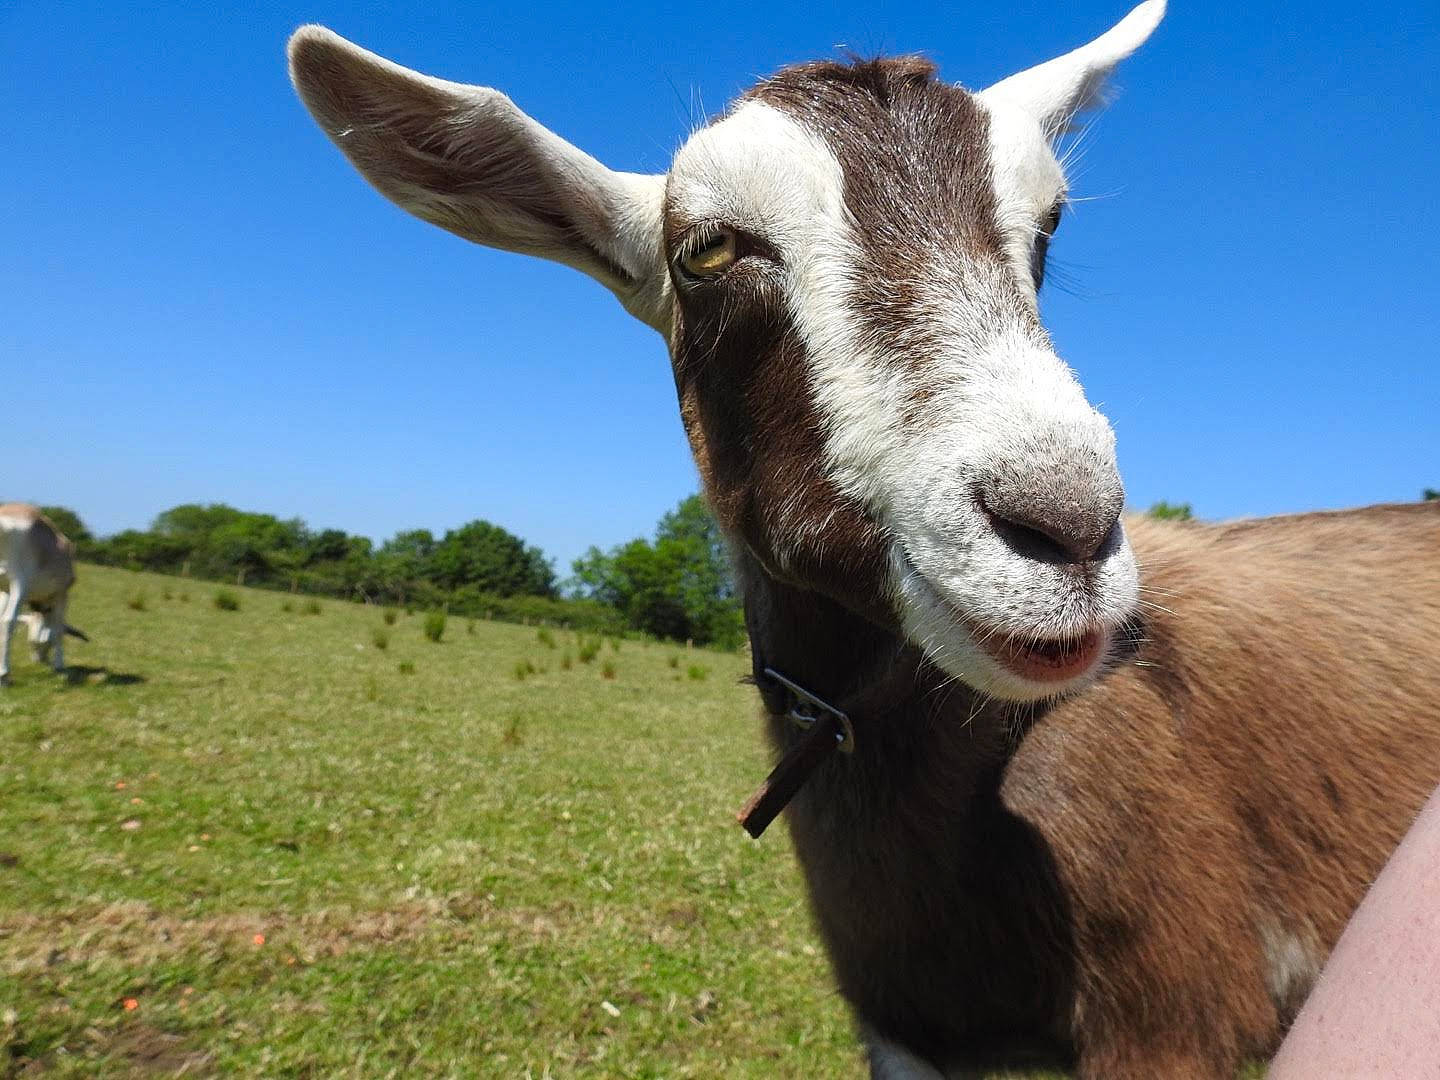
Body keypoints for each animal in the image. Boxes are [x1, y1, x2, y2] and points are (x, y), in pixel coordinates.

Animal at [0, 503, 86, 684]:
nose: (39, 660)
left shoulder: (4, 589)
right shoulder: (62, 594)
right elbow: (58, 629)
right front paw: (60, 665)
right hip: (21, 582)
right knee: (8, 620)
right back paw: (4, 675)